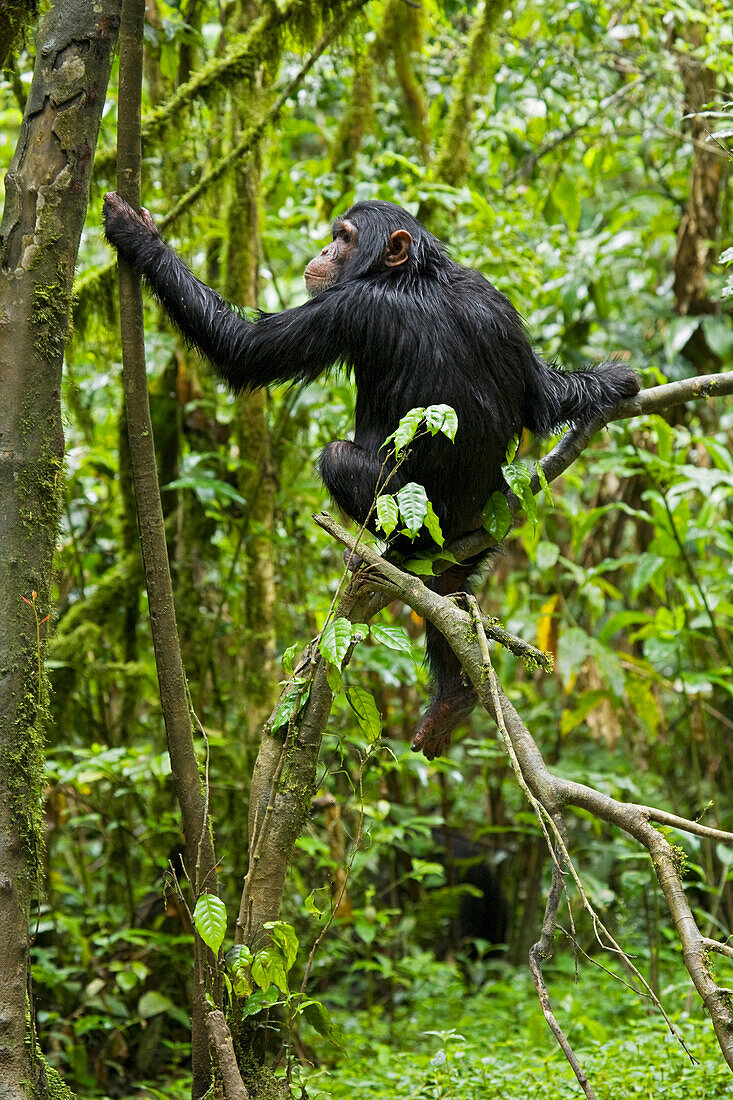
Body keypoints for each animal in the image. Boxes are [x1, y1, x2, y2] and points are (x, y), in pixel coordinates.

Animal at [100, 193, 638, 756]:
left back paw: (383, 557)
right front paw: (615, 382)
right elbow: (539, 395)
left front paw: (136, 235)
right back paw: (452, 699)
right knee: (451, 596)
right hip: (479, 535)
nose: (323, 249)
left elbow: (243, 349)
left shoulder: (350, 306)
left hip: (428, 520)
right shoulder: (498, 303)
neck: (415, 275)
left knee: (338, 458)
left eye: (345, 238)